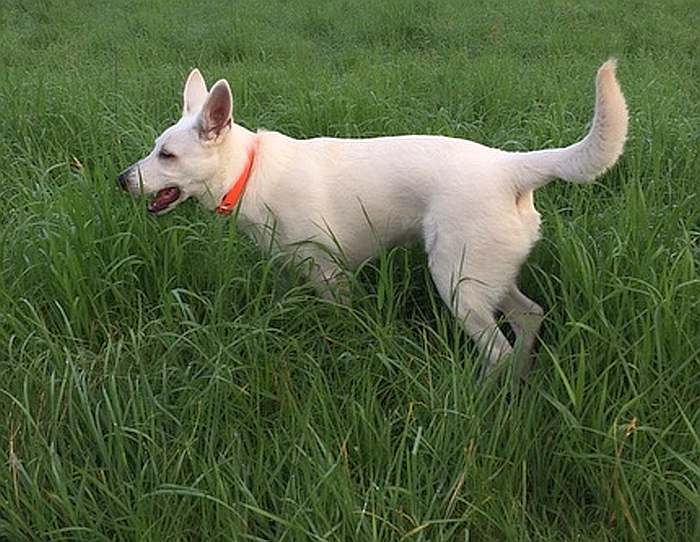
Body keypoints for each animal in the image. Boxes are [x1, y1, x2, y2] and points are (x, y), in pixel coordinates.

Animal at [119, 60, 628, 378]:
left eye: (167, 155)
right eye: (155, 148)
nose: (121, 180)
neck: (249, 168)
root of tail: (510, 167)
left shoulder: (331, 276)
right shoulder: (291, 270)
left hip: (458, 284)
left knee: (498, 350)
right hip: (488, 276)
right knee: (529, 318)